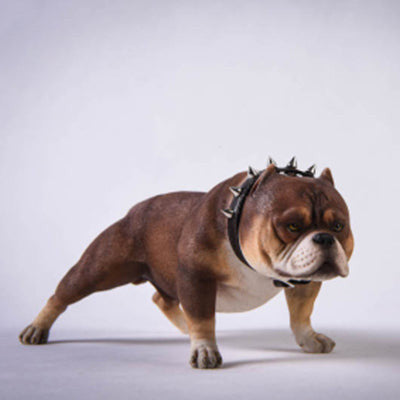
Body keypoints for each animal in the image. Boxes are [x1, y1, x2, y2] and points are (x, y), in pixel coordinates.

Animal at [20, 158, 354, 370]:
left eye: (339, 227)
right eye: (293, 226)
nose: (324, 238)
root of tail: (135, 209)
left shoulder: (305, 283)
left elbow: (301, 314)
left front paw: (309, 339)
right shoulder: (197, 277)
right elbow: (204, 318)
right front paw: (205, 349)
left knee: (163, 299)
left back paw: (183, 325)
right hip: (99, 268)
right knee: (64, 293)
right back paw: (36, 328)